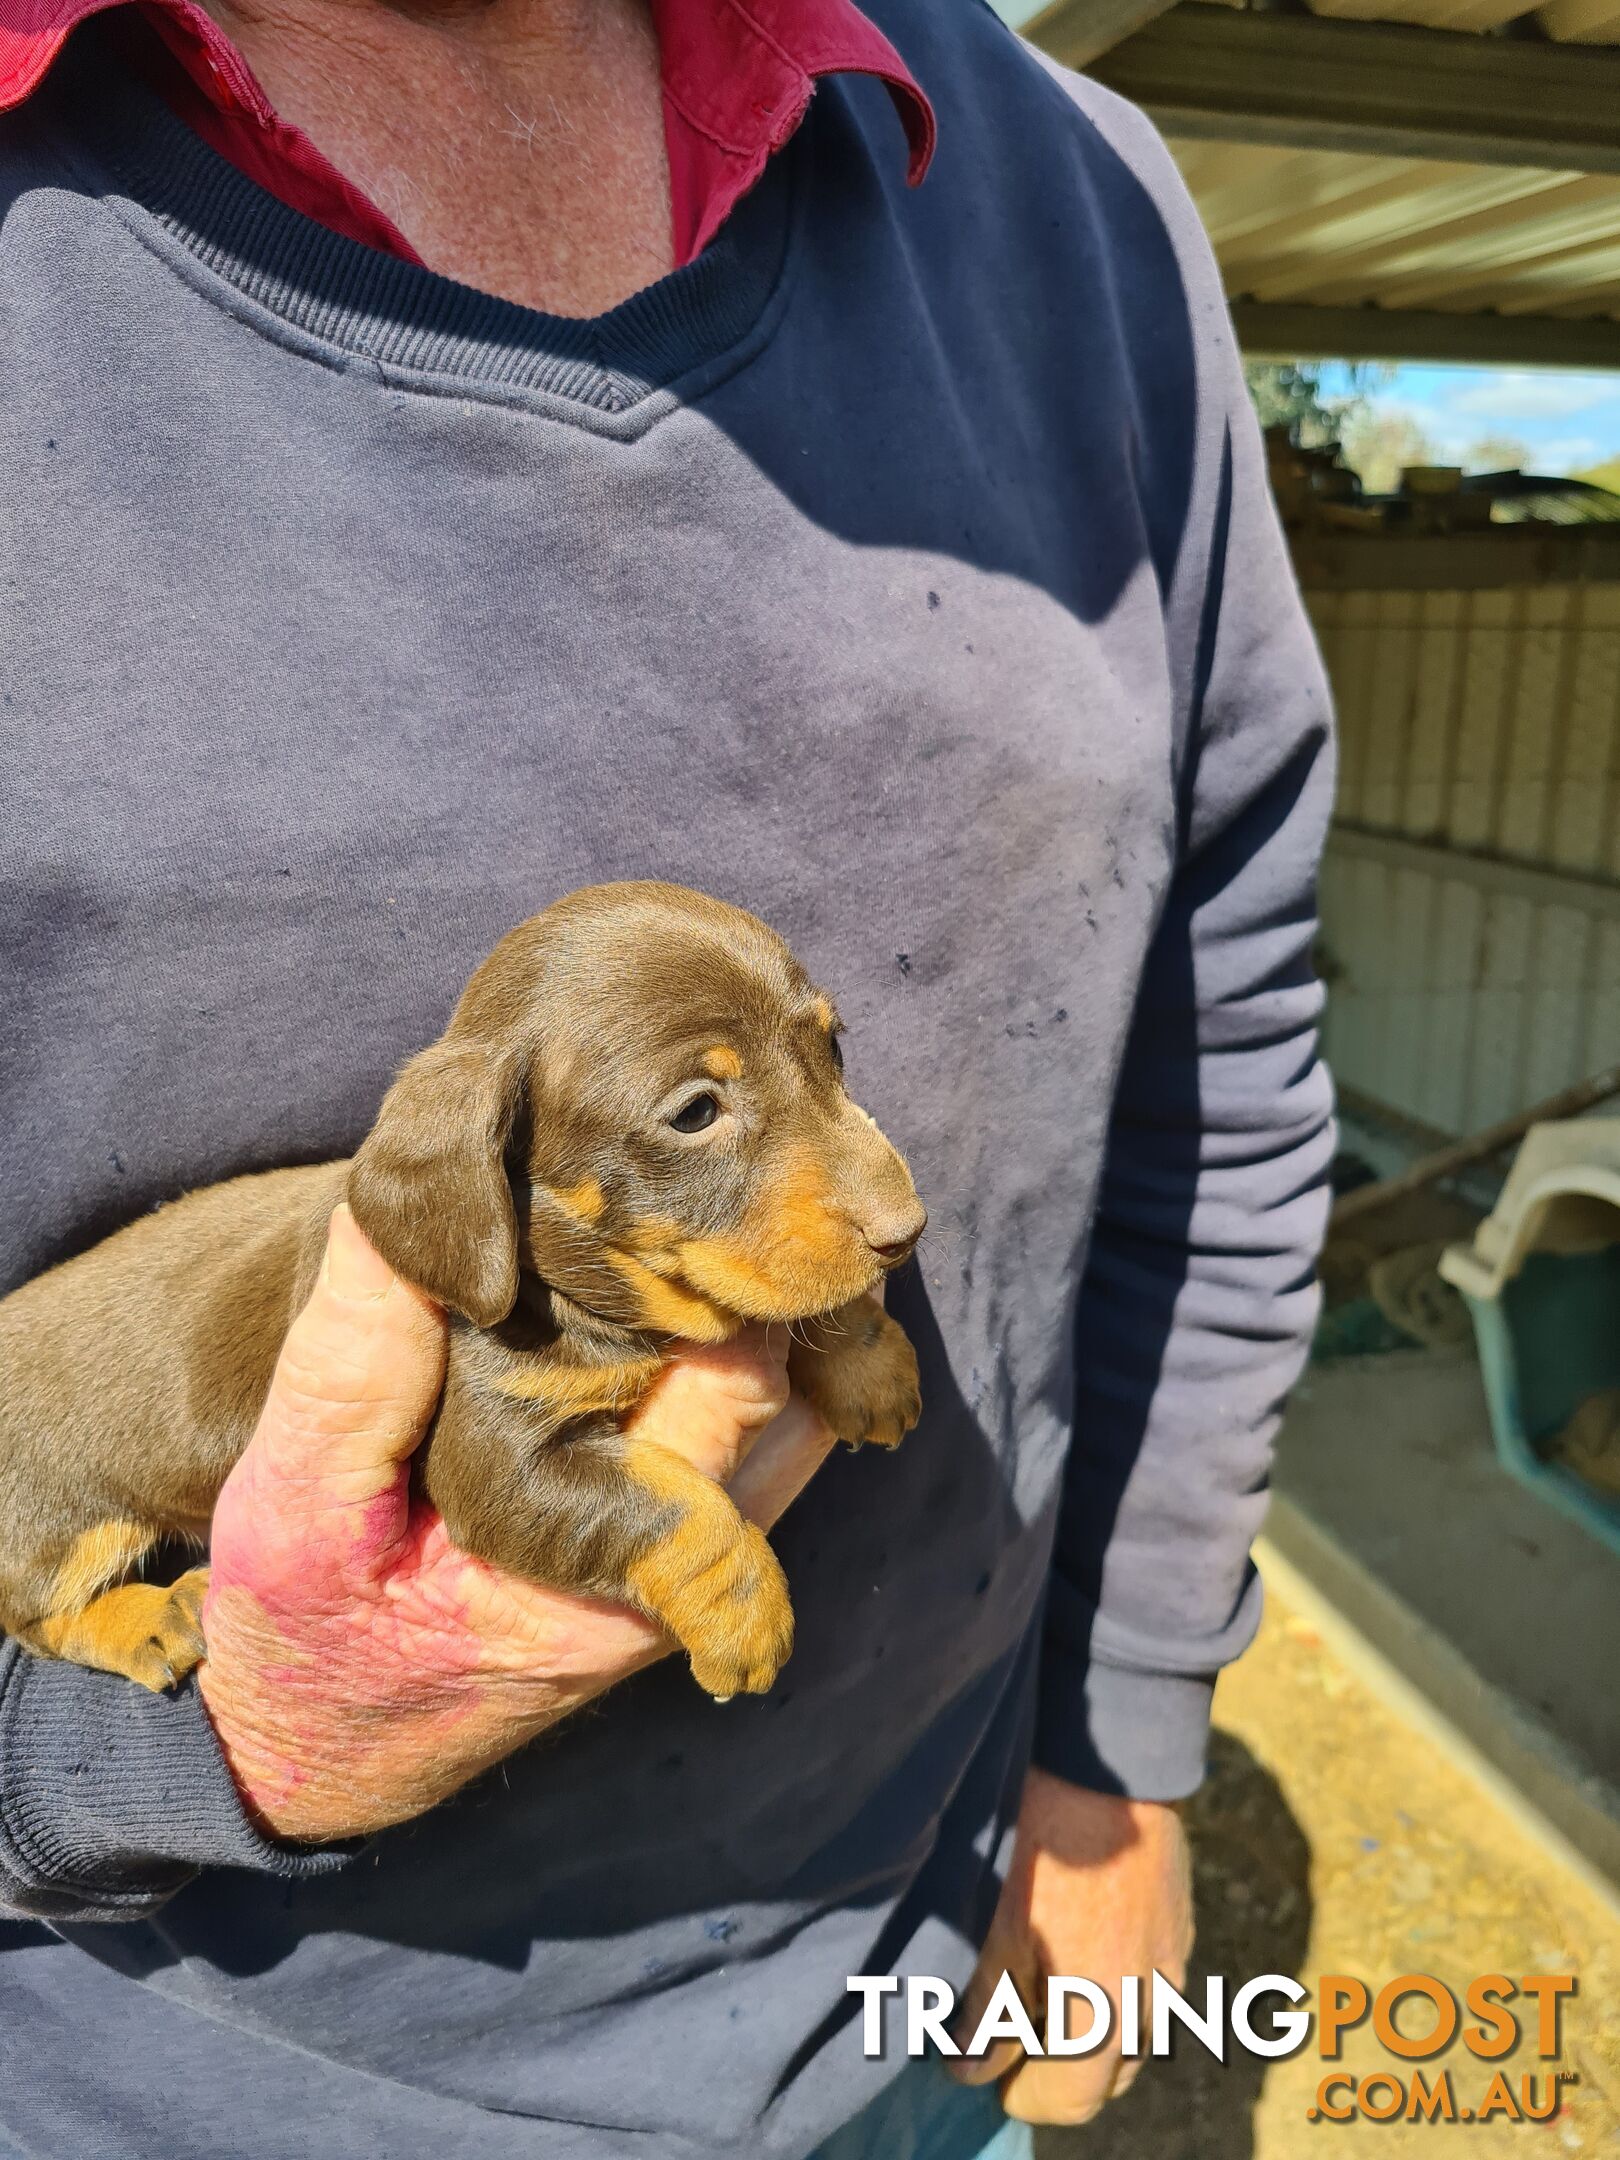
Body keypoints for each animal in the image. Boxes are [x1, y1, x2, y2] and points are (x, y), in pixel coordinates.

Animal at [0, 876, 924, 1702]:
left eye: (833, 1049)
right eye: (696, 1112)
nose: (908, 1230)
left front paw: (867, 1359)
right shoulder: (500, 1463)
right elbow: (671, 1506)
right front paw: (744, 1614)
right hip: (63, 1521)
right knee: (39, 1615)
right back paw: (148, 1619)